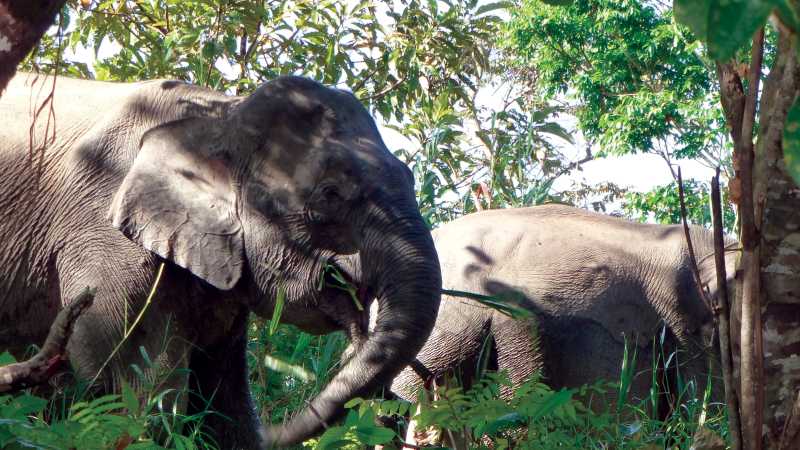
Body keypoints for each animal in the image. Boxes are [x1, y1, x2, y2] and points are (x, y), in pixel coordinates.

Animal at [0, 73, 441, 448]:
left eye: (409, 176)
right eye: (329, 194)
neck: (221, 115)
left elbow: (222, 404)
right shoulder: (104, 236)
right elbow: (130, 389)